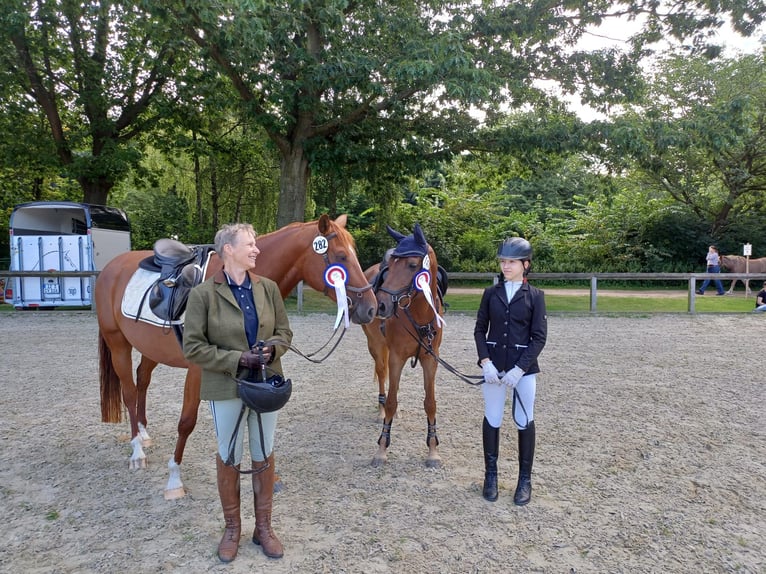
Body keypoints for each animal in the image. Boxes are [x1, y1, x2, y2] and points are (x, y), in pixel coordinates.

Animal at [96, 216, 378, 500]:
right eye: (341, 256)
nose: (371, 308)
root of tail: (111, 268)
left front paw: (270, 476)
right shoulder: (198, 368)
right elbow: (186, 422)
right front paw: (174, 478)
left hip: (149, 348)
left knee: (141, 381)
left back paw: (143, 434)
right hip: (118, 345)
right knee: (129, 393)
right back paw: (137, 452)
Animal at [364, 223, 448, 470]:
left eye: (412, 265)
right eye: (391, 265)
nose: (380, 304)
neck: (419, 315)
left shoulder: (431, 359)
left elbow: (430, 403)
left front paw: (433, 451)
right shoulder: (396, 358)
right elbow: (392, 401)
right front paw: (382, 449)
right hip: (376, 346)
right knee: (382, 375)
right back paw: (381, 410)